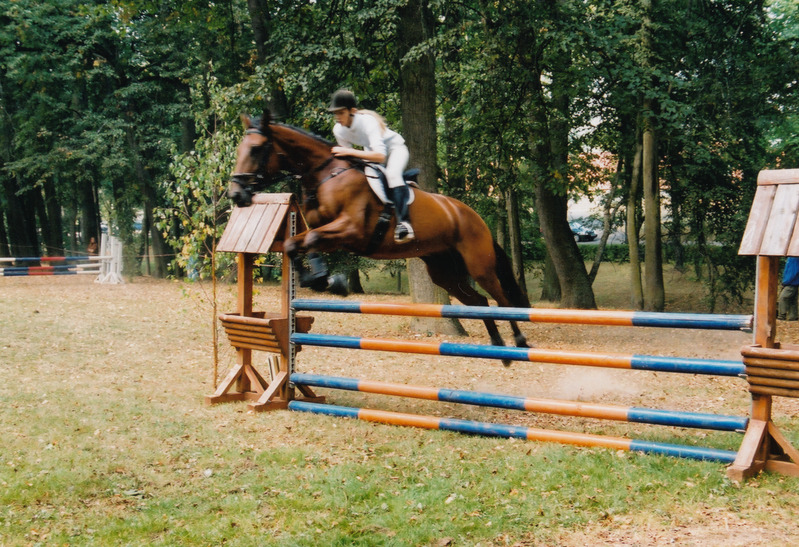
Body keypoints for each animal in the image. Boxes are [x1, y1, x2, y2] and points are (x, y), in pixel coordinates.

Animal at [230, 111, 532, 360]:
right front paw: (317, 280)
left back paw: (519, 340)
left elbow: (312, 240)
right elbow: (295, 244)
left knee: (501, 301)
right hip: (445, 273)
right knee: (480, 303)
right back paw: (499, 347)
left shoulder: (350, 230)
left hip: (478, 265)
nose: (236, 195)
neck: (326, 174)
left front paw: (331, 282)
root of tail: (472, 216)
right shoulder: (320, 228)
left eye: (256, 149)